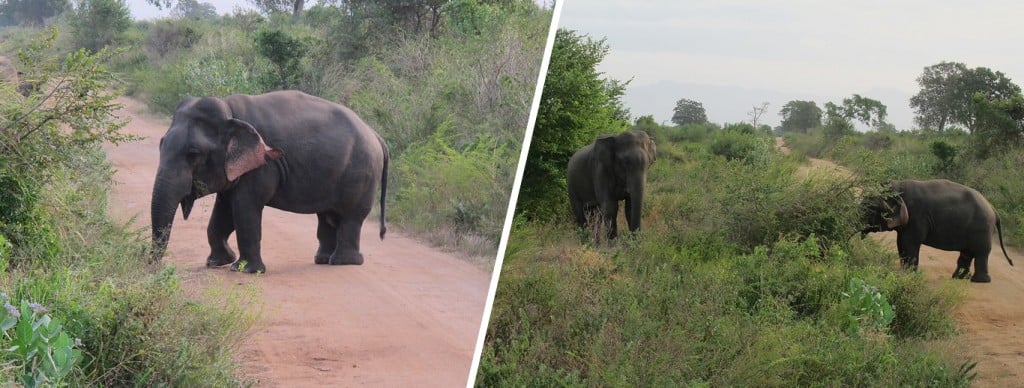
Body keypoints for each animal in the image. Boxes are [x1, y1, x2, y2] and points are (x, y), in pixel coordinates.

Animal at [149, 90, 389, 274]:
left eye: (193, 154)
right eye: (160, 144)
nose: (153, 267)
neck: (230, 112)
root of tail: (377, 136)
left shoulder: (261, 167)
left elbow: (244, 210)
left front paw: (245, 270)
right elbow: (223, 212)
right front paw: (217, 263)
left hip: (361, 174)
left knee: (350, 217)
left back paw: (342, 262)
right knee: (328, 216)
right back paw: (323, 260)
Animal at [860, 178, 1011, 282]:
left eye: (870, 209)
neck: (898, 187)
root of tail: (993, 209)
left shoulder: (916, 217)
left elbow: (909, 243)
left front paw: (908, 275)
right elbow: (901, 243)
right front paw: (903, 273)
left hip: (982, 229)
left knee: (980, 253)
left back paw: (978, 281)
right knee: (967, 253)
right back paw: (959, 278)